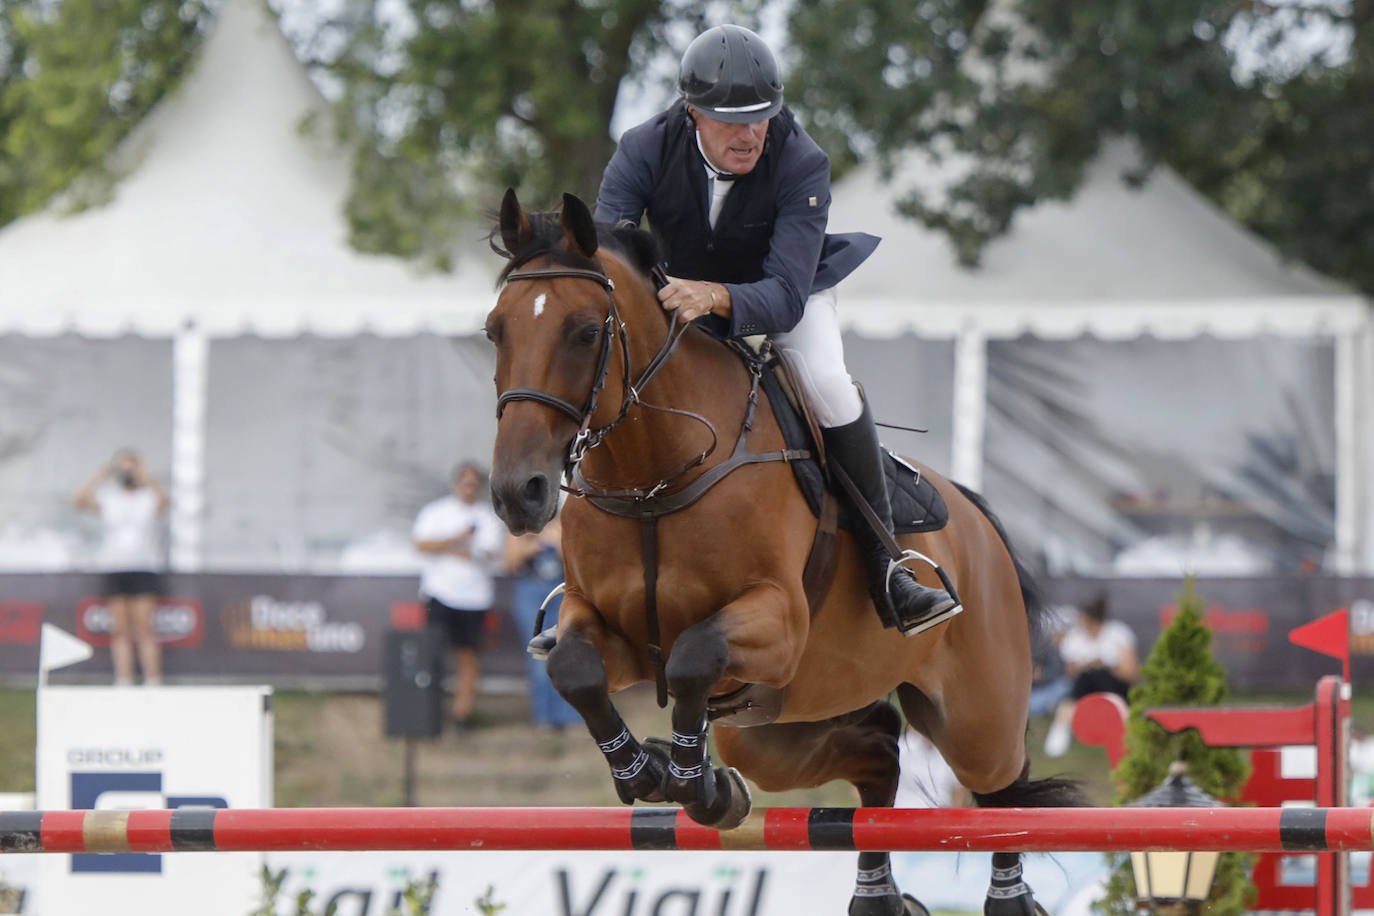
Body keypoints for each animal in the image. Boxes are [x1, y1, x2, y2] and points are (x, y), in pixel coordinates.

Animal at [484, 189, 1082, 916]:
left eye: (582, 332)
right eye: (495, 331)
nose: (518, 494)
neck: (654, 482)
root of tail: (972, 515)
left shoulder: (778, 622)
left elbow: (693, 656)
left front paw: (690, 782)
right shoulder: (608, 629)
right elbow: (574, 669)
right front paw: (653, 772)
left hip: (973, 716)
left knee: (1000, 788)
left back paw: (1008, 897)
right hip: (772, 724)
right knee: (877, 750)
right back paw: (875, 894)